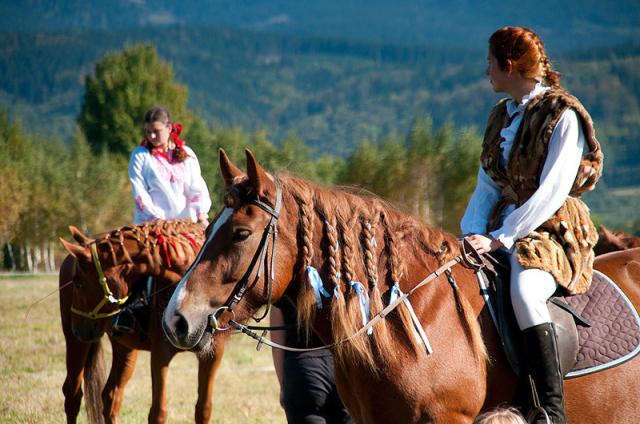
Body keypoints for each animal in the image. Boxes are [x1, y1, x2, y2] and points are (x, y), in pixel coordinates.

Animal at [59, 220, 225, 422]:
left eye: (79, 283)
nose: (79, 329)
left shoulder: (212, 355)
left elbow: (203, 409)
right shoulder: (161, 354)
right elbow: (158, 412)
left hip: (123, 347)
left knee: (111, 396)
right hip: (76, 342)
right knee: (72, 394)